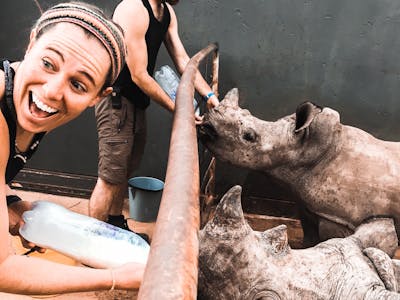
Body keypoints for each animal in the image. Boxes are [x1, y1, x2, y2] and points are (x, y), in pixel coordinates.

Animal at [199, 89, 400, 253]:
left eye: (249, 136)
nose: (206, 125)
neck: (304, 149)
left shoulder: (337, 218)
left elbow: (331, 241)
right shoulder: (308, 205)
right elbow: (310, 236)